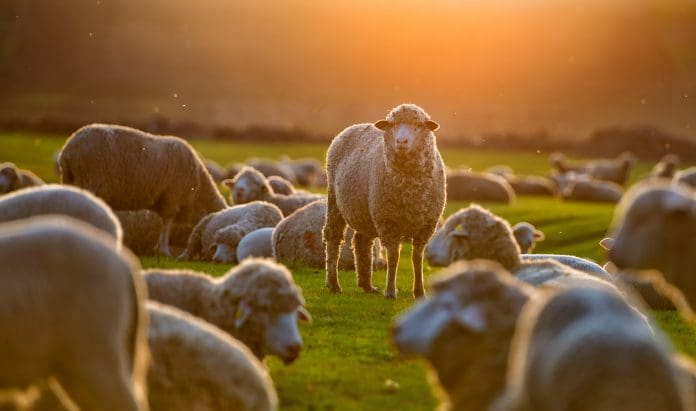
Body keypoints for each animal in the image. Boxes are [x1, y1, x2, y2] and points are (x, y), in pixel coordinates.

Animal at [59, 123, 226, 256]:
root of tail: (69, 149)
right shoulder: (171, 197)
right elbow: (167, 224)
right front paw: (164, 251)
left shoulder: (164, 199)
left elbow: (162, 224)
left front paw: (157, 249)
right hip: (92, 182)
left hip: (71, 181)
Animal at [324, 103, 446, 298]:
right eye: (392, 124)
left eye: (419, 125)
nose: (401, 142)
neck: (410, 188)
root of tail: (354, 126)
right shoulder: (388, 222)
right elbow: (394, 257)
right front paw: (390, 291)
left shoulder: (425, 226)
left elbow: (417, 258)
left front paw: (419, 291)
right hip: (334, 200)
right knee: (332, 237)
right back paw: (333, 284)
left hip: (365, 212)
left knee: (361, 241)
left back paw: (367, 285)